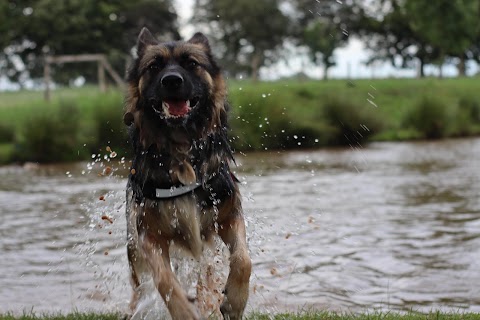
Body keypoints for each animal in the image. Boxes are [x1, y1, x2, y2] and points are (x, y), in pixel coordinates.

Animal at [124, 28, 251, 320]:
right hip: (135, 253)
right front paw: (185, 311)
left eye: (191, 63)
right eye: (154, 66)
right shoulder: (150, 235)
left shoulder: (228, 215)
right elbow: (165, 281)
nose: (171, 80)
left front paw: (235, 301)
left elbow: (243, 258)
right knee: (141, 288)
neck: (181, 148)